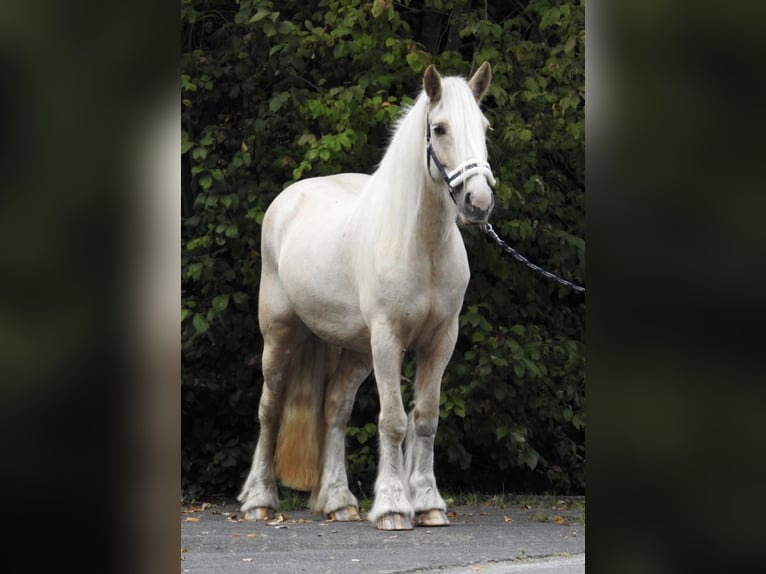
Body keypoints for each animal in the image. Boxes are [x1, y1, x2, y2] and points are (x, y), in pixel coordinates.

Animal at [237, 62, 496, 532]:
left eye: (484, 127)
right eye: (440, 128)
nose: (478, 202)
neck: (421, 246)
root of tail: (287, 200)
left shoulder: (440, 342)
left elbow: (425, 420)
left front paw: (428, 504)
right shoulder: (388, 340)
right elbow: (393, 421)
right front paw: (393, 507)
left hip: (356, 350)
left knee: (334, 409)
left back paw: (339, 501)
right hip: (281, 336)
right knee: (270, 408)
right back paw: (259, 501)